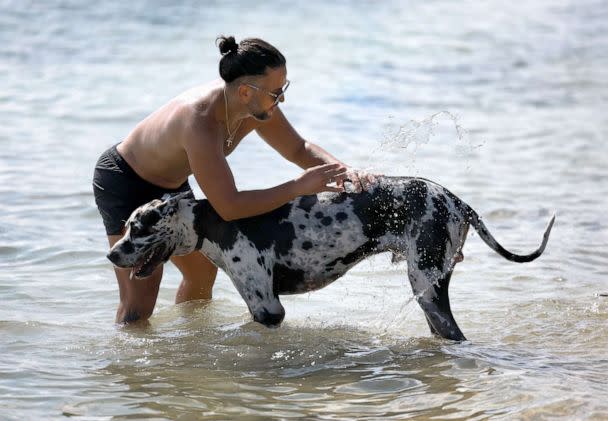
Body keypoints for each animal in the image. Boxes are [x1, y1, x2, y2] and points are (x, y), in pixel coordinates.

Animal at [107, 176, 552, 340]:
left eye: (138, 227)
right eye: (126, 225)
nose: (111, 253)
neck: (214, 221)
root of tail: (457, 200)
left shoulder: (268, 310)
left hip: (428, 290)